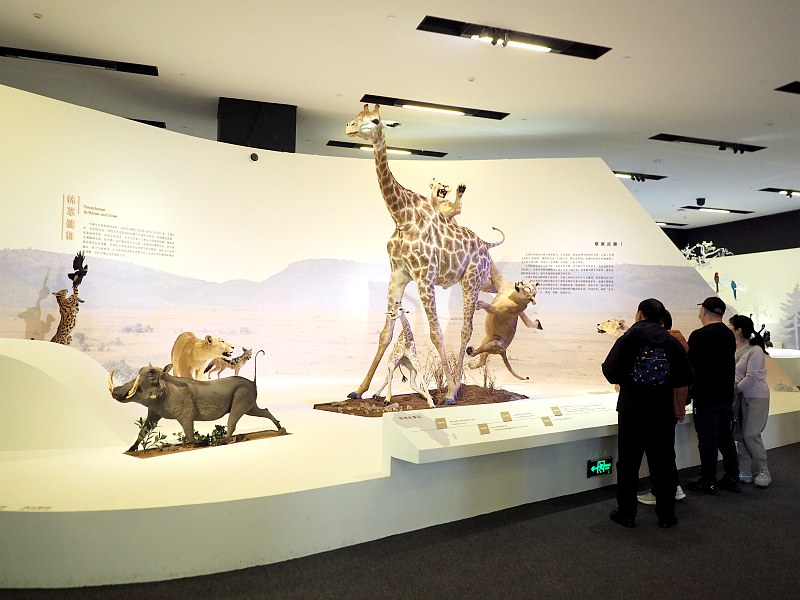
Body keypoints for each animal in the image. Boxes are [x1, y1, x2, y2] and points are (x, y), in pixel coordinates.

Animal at [346, 103, 504, 406]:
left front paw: (449, 393)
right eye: (356, 117)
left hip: (471, 281)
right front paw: (358, 389)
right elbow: (385, 333)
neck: (401, 216)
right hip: (474, 282)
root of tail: (485, 246)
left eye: (375, 120)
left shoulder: (424, 277)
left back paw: (455, 389)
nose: (349, 127)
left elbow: (436, 332)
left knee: (465, 329)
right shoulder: (397, 275)